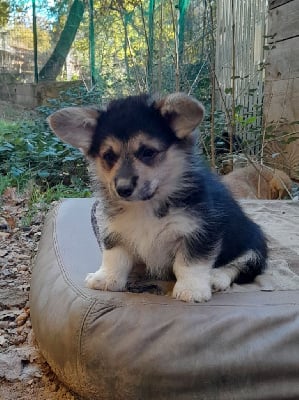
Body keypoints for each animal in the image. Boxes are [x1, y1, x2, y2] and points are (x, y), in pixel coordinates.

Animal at [48, 92, 268, 302]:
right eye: (109, 156)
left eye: (148, 152)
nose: (123, 189)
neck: (145, 205)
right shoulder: (115, 231)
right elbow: (114, 256)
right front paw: (107, 278)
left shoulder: (200, 231)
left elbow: (189, 263)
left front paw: (191, 289)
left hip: (254, 242)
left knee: (240, 265)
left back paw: (216, 277)